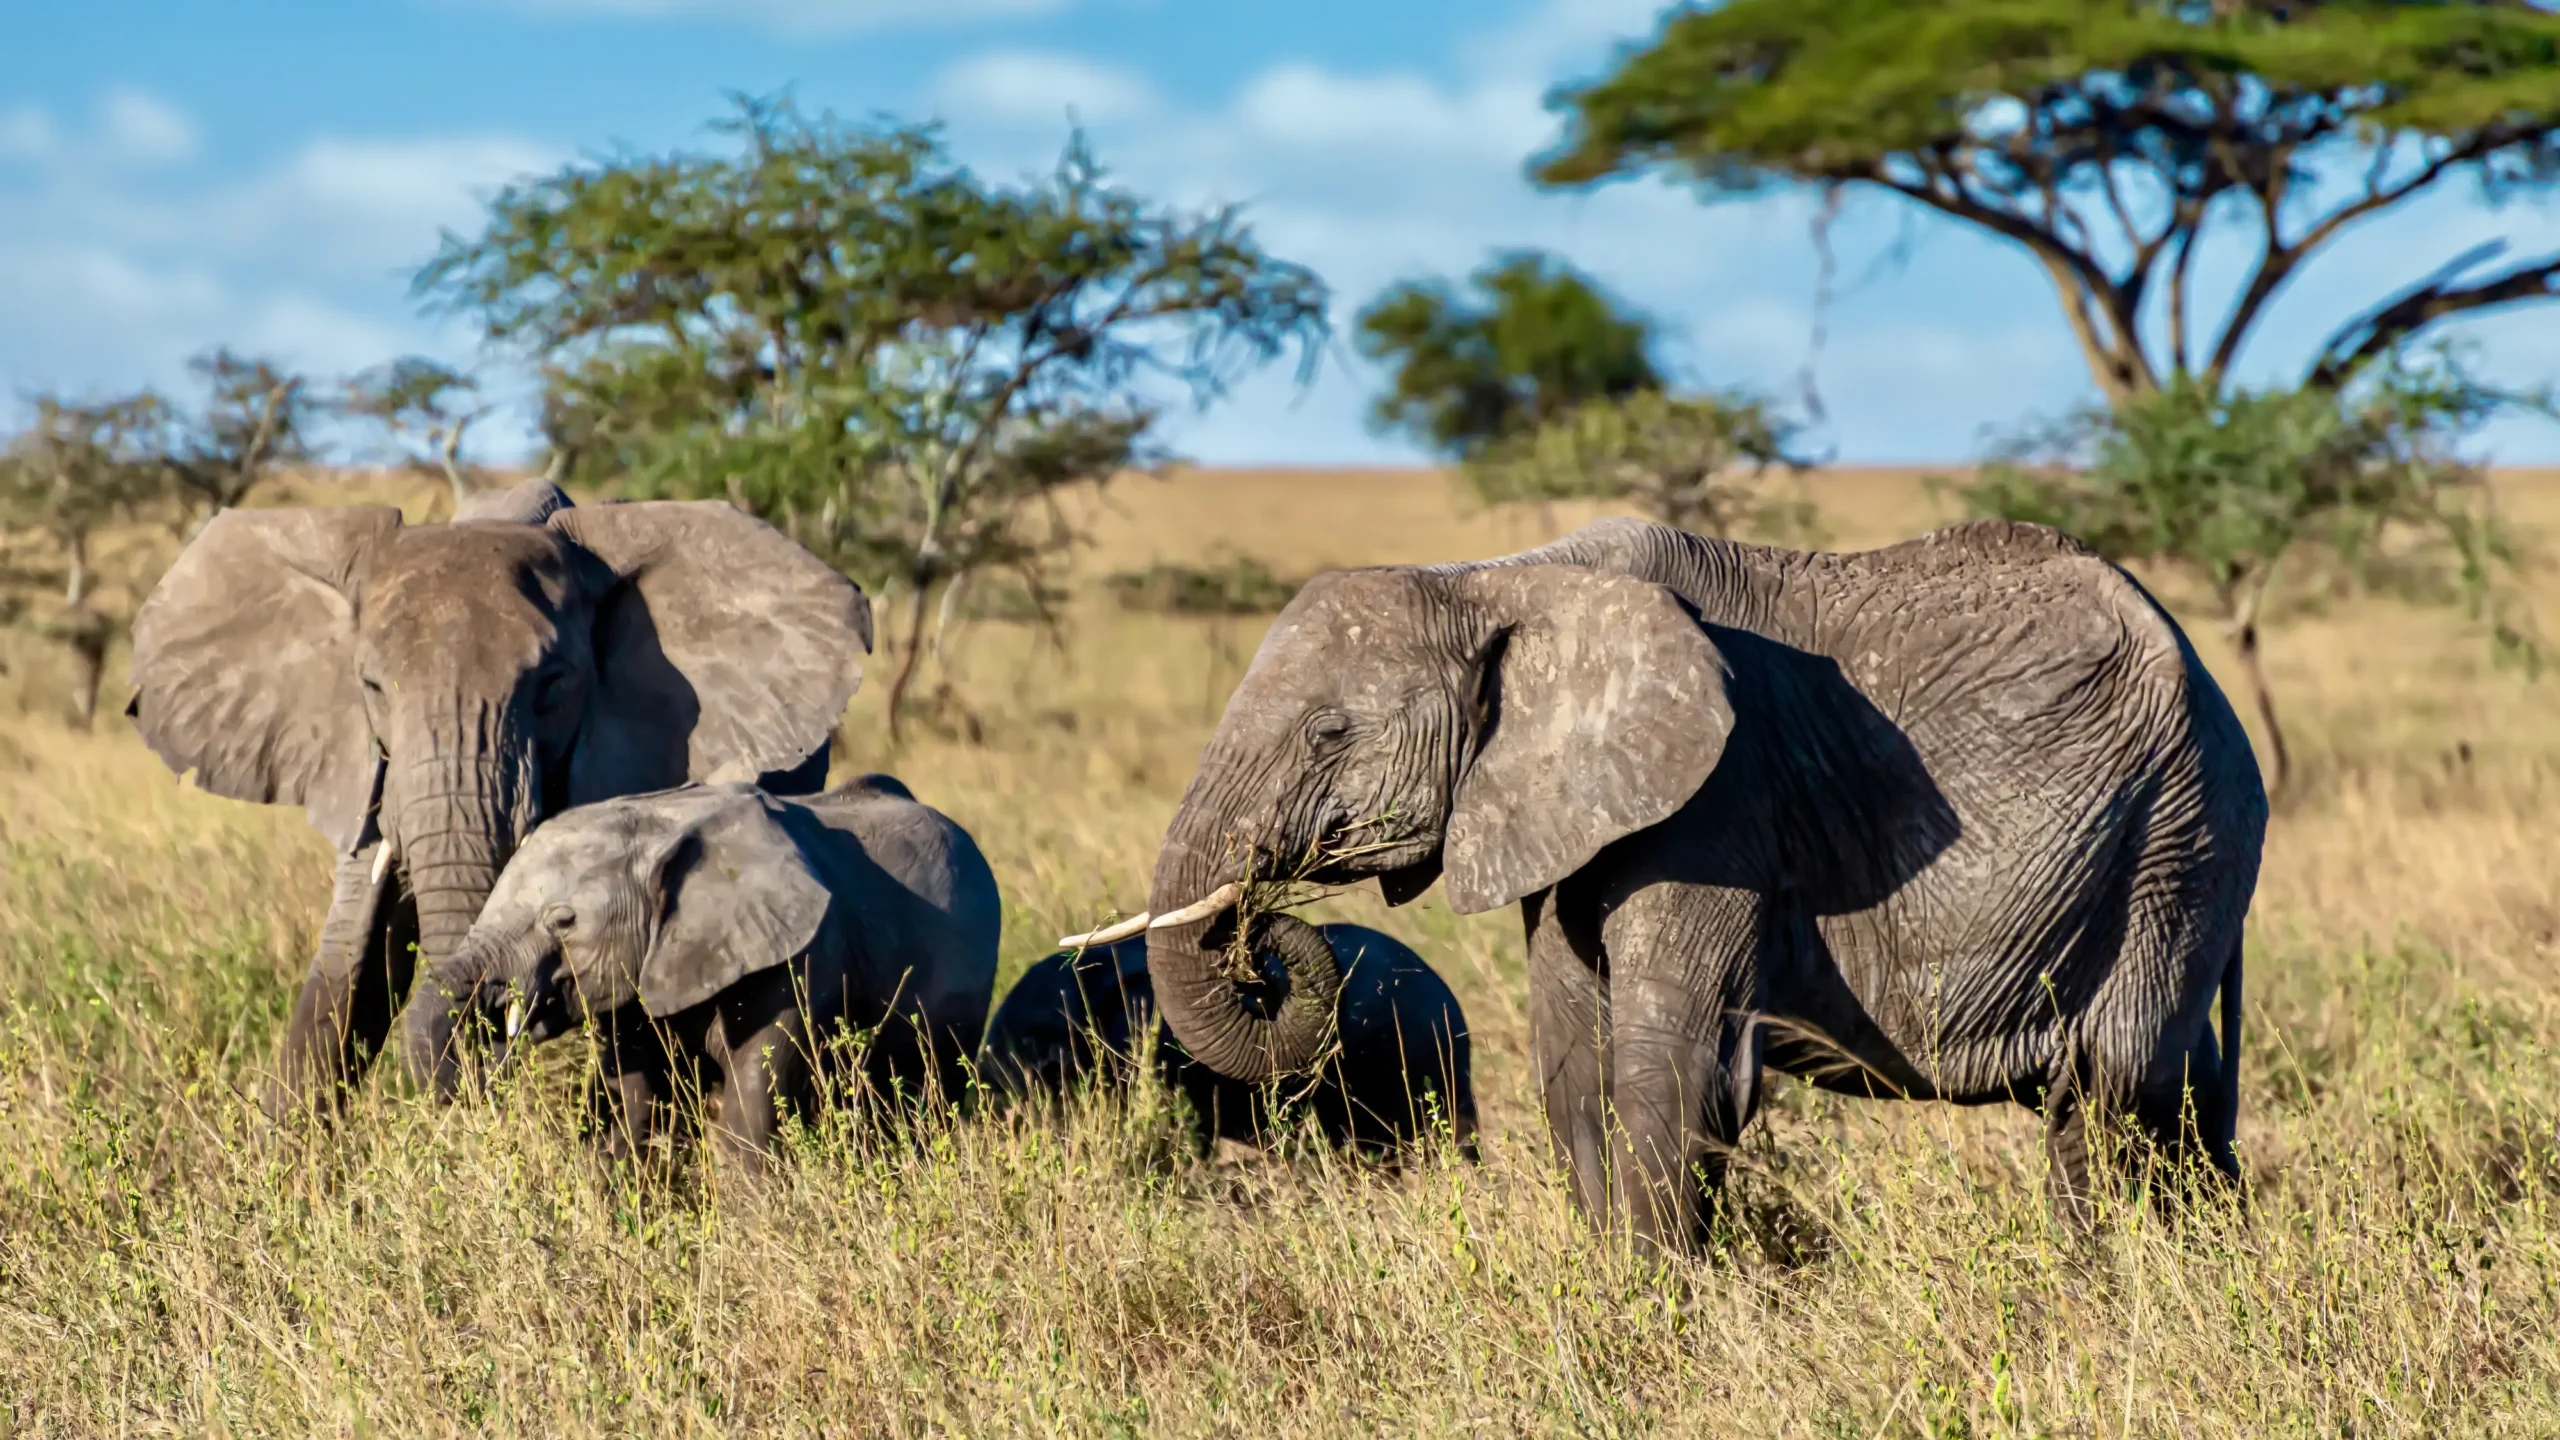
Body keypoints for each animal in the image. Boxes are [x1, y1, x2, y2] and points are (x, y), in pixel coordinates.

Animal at [423, 774, 1000, 1162]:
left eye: (563, 922)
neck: (663, 827)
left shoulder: (796, 961)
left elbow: (748, 1121)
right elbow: (632, 1110)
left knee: (923, 1105)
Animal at [1115, 515, 2266, 1252]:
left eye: (1326, 733)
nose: (1265, 940)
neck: (1502, 580)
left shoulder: (1720, 801)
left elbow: (1664, 1067)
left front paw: (1656, 1308)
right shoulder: (1568, 812)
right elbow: (1571, 1063)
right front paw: (1605, 1292)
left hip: (2177, 834)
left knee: (2111, 1082)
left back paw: (2099, 1288)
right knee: (2176, 1092)